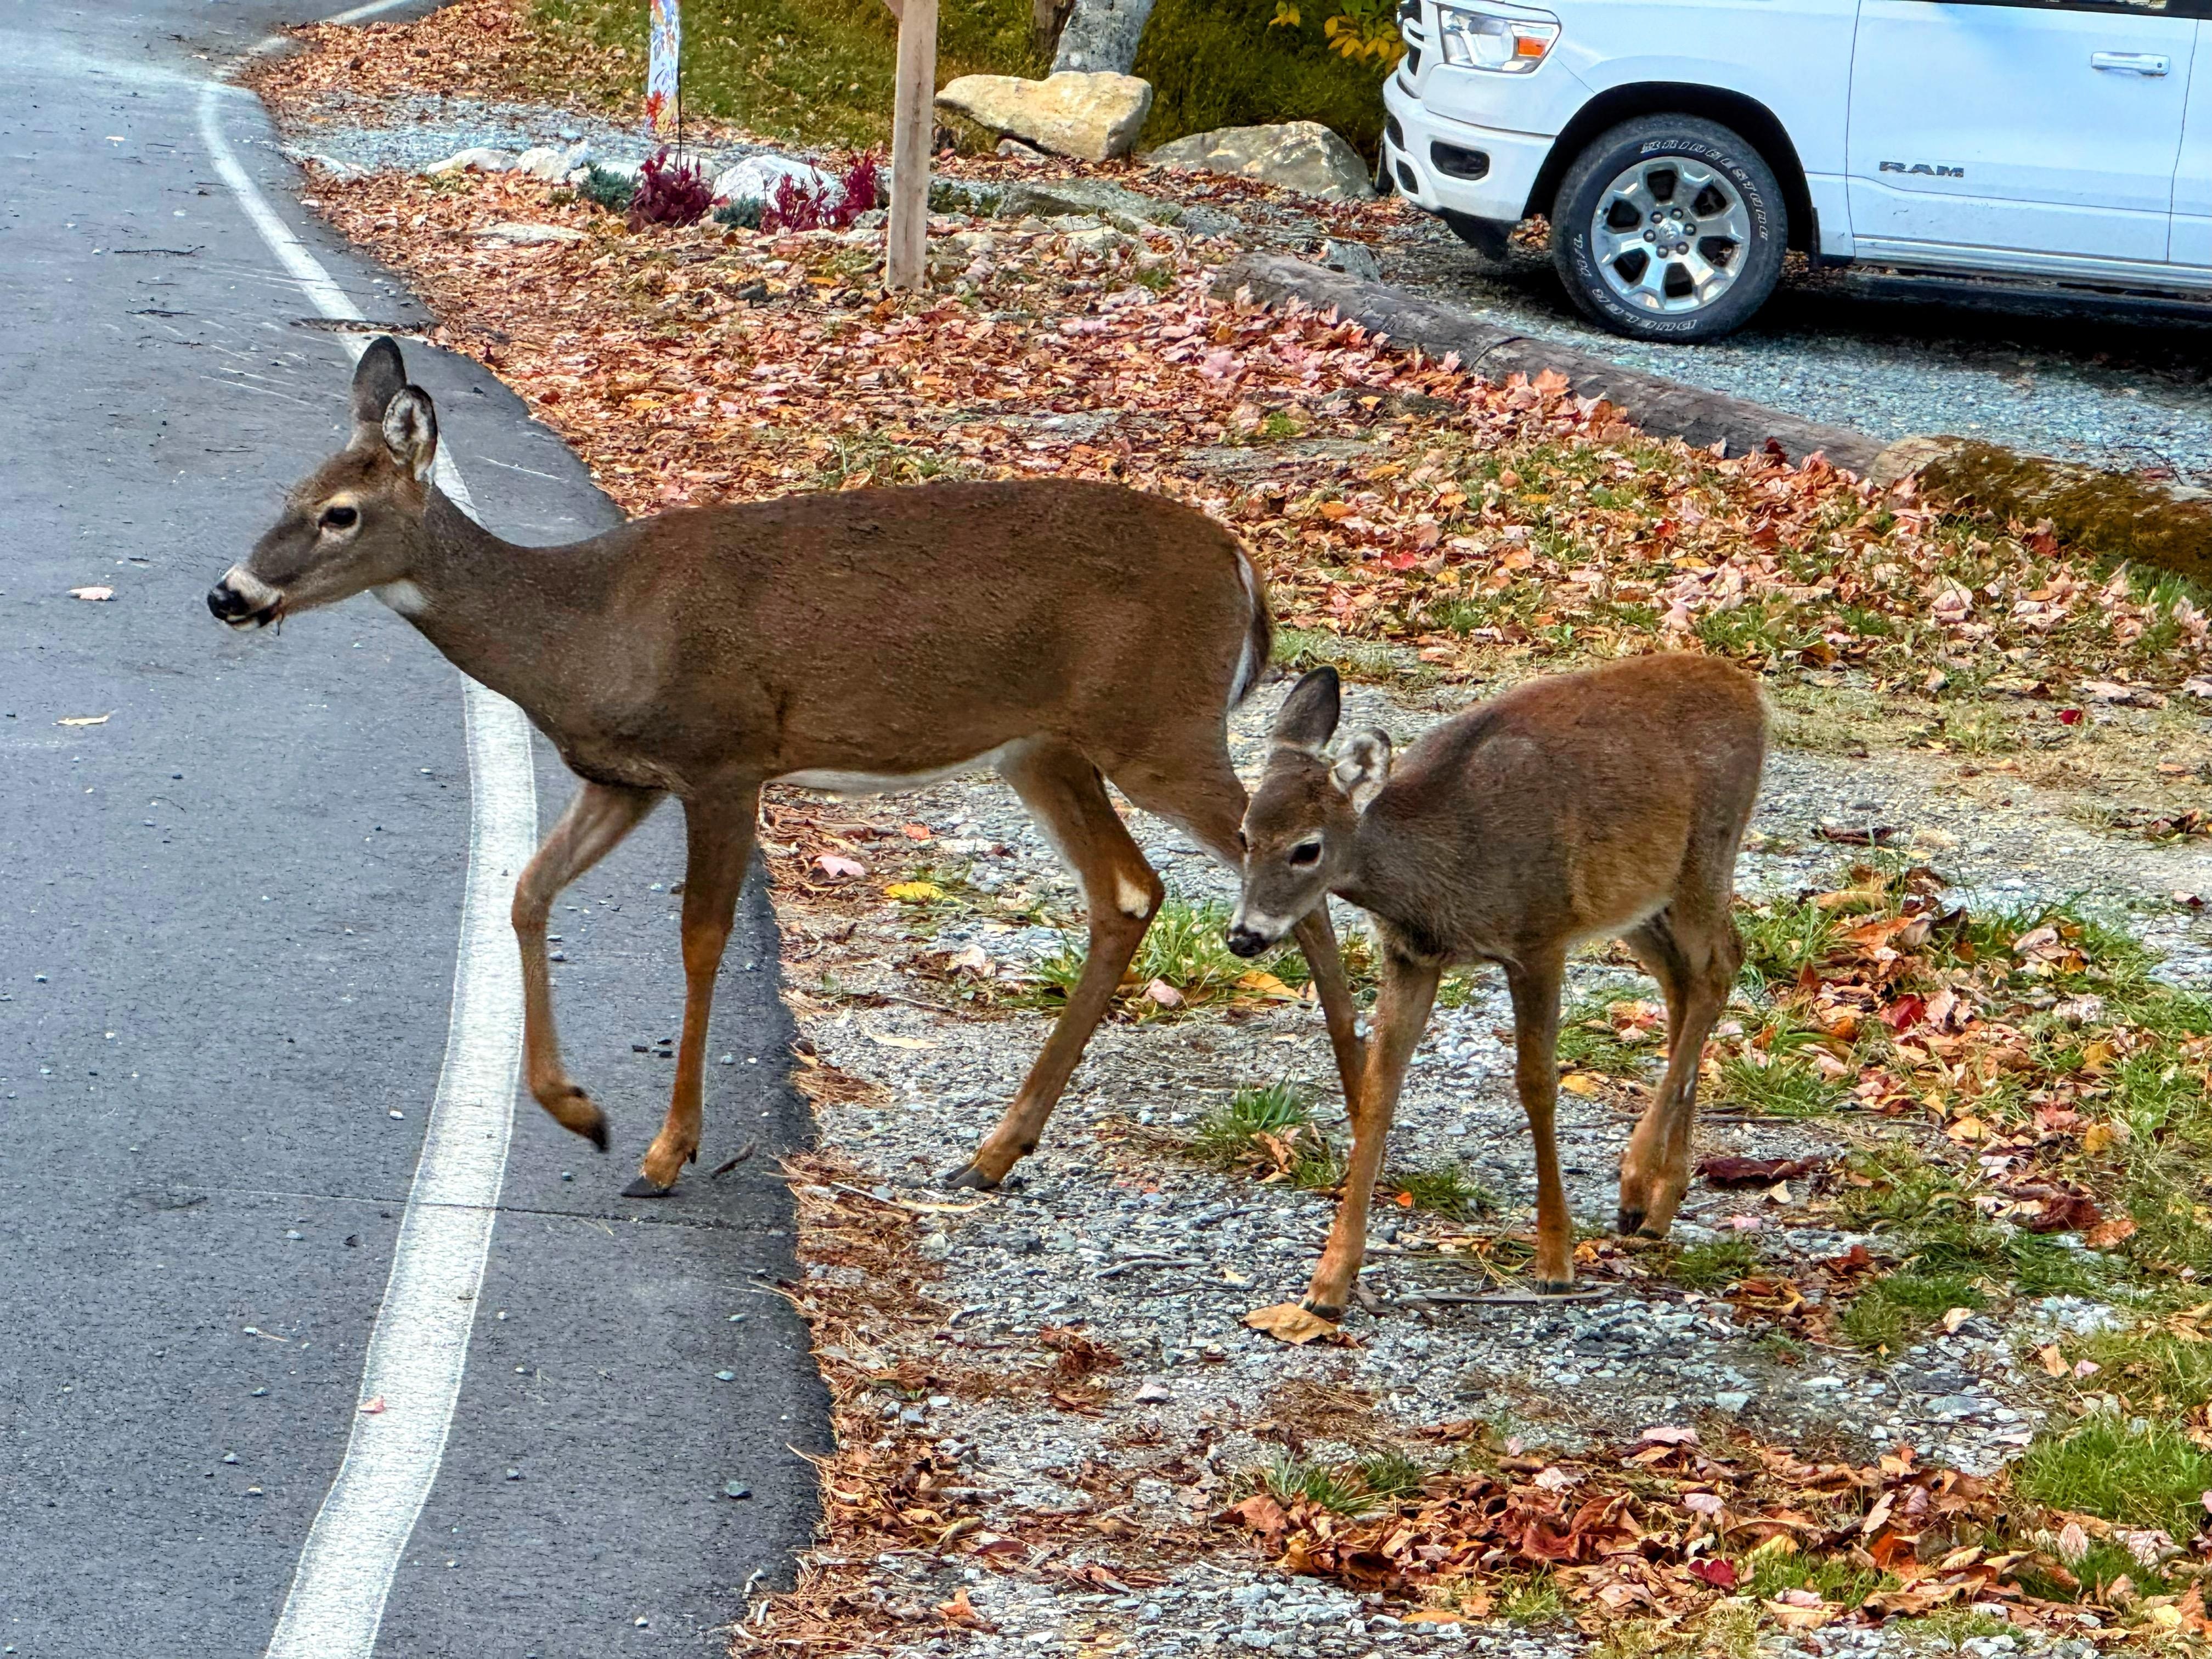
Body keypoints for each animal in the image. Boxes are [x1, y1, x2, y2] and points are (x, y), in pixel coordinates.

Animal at [208, 337, 1366, 1198]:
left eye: (341, 513)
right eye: (288, 491)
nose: (229, 593)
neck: (578, 633)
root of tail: (1242, 565)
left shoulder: (723, 758)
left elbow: (701, 939)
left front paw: (664, 1151)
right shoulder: (623, 774)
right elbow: (527, 890)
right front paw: (580, 1111)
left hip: (1158, 727)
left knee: (1288, 863)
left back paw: (1359, 1124)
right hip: (1044, 747)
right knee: (1127, 890)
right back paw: (994, 1152)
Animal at [1226, 654, 1765, 1320]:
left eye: (1308, 848)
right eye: (1245, 834)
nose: (1245, 936)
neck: (1444, 868)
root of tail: (1748, 689)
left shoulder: (1539, 938)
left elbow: (1538, 1087)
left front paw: (1556, 1264)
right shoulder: (1410, 956)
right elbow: (1379, 1091)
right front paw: (1328, 1284)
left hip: (1706, 854)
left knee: (1720, 966)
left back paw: (1640, 1185)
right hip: (1635, 896)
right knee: (1685, 979)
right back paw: (1661, 1199)